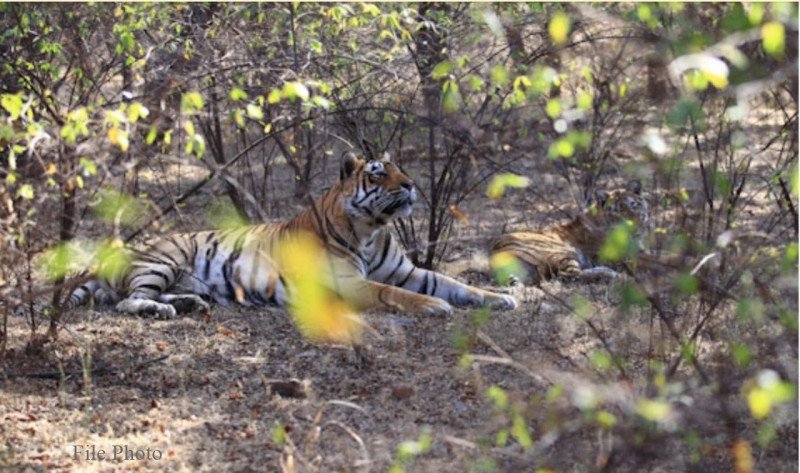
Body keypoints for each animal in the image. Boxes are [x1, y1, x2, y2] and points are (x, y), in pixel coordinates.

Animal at [66, 152, 518, 319]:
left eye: (399, 168)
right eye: (378, 173)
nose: (410, 185)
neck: (372, 229)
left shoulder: (409, 272)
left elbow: (452, 282)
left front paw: (500, 297)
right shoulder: (349, 282)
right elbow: (393, 294)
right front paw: (433, 306)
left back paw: (190, 303)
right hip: (165, 258)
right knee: (128, 300)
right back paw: (162, 310)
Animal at [490, 180, 648, 285]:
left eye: (634, 205)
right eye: (617, 212)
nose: (636, 226)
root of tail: (494, 252)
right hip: (562, 251)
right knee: (569, 275)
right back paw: (613, 275)